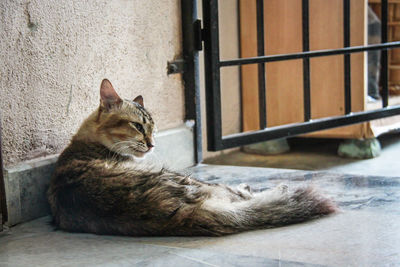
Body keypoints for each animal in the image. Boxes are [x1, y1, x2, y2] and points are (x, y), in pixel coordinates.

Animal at [47, 79, 338, 237]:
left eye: (153, 128)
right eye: (138, 126)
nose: (152, 144)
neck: (88, 140)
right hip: (188, 179)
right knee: (241, 195)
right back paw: (272, 188)